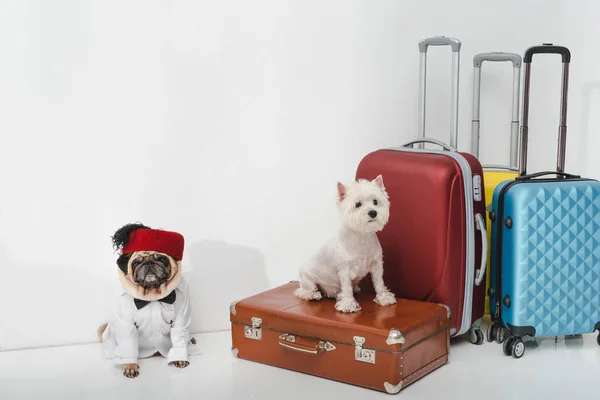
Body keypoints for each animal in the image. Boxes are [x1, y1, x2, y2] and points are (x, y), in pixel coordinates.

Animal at [97, 222, 193, 378]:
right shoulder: (126, 324)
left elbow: (179, 338)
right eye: (136, 263)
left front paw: (179, 358)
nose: (148, 264)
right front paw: (130, 366)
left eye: (162, 259)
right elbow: (128, 343)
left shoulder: (181, 319)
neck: (151, 295)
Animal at [292, 175, 396, 312]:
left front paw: (384, 298)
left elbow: (379, 282)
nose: (373, 212)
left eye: (375, 201)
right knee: (304, 290)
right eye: (357, 204)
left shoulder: (377, 265)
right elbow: (346, 288)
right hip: (308, 279)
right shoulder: (345, 269)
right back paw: (314, 295)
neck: (362, 237)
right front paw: (347, 305)